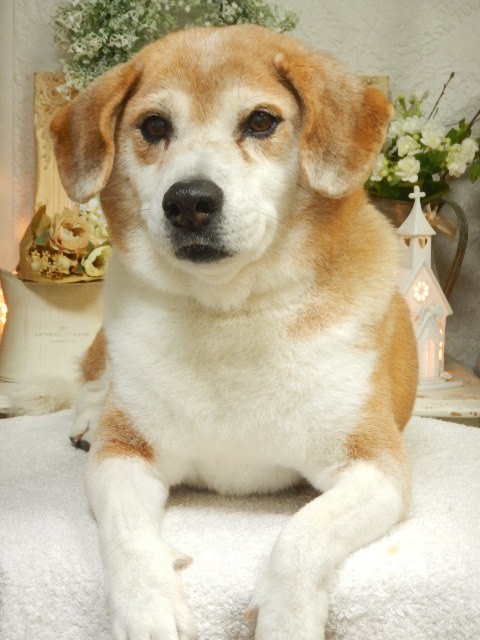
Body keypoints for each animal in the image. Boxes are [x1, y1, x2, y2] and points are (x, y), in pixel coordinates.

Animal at [50, 24, 418, 640]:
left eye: (262, 121)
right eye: (154, 126)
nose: (190, 201)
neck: (229, 316)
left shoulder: (376, 465)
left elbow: (303, 535)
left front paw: (286, 619)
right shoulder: (124, 456)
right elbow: (125, 533)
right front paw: (147, 607)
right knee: (97, 378)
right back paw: (89, 415)